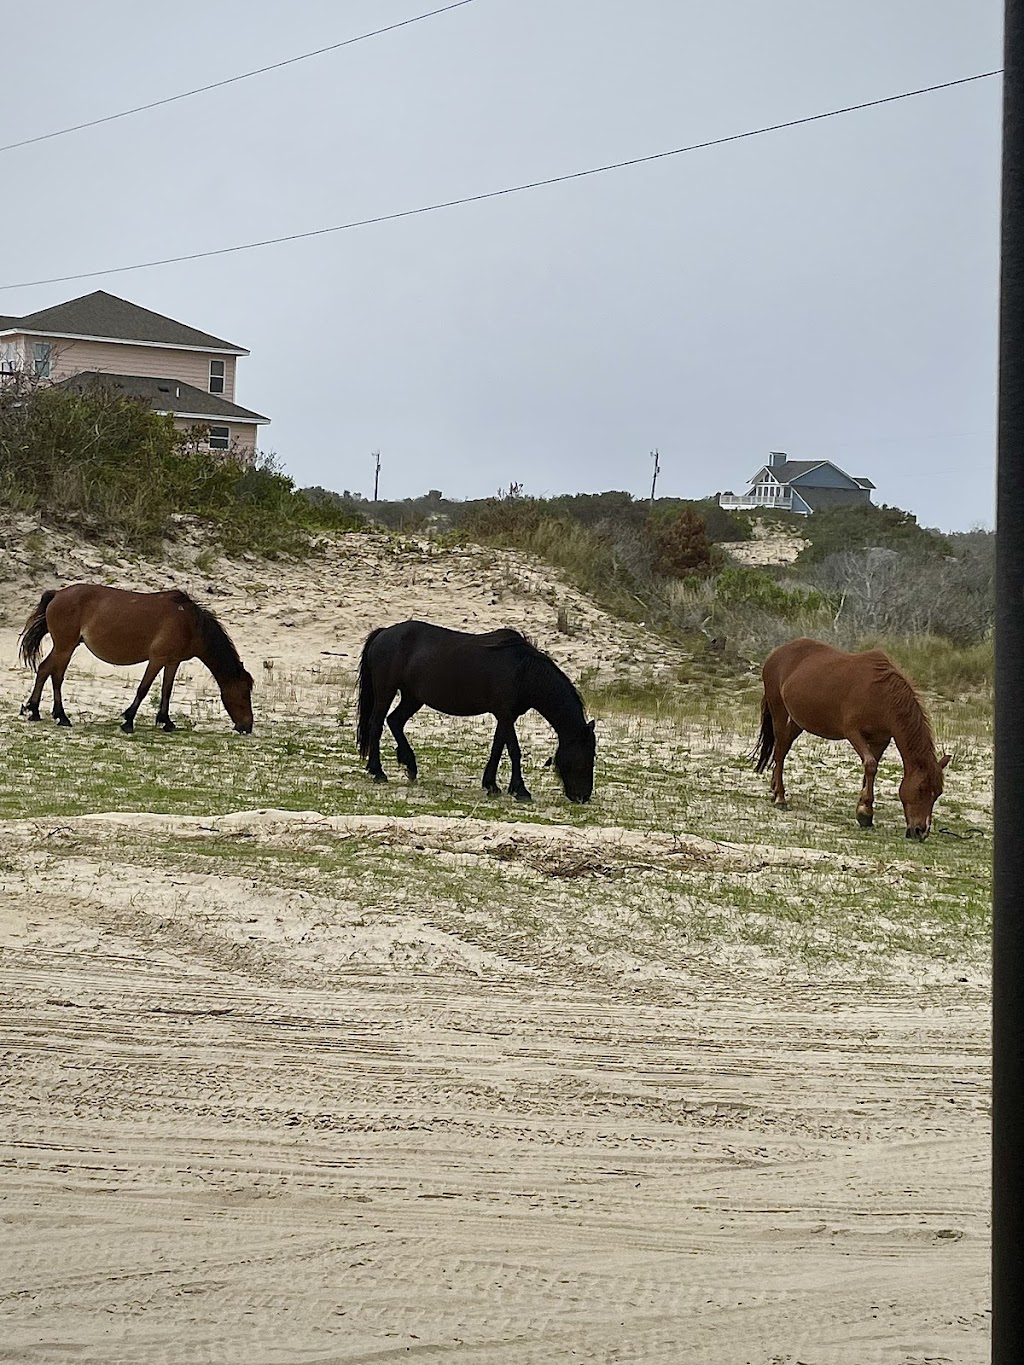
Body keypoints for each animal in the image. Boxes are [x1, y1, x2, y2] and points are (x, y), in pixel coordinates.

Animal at [18, 586, 255, 737]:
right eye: (244, 693)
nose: (247, 726)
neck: (189, 623)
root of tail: (57, 594)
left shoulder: (172, 662)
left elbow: (166, 691)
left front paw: (166, 721)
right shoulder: (157, 659)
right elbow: (143, 689)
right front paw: (128, 721)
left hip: (67, 646)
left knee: (47, 671)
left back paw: (39, 712)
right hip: (65, 647)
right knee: (54, 674)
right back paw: (58, 715)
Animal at [360, 625, 600, 802]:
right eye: (585, 757)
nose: (582, 797)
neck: (523, 670)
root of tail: (384, 633)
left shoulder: (506, 716)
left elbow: (497, 747)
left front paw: (491, 785)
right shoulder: (504, 714)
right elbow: (514, 750)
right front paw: (520, 790)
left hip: (413, 698)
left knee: (394, 721)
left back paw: (409, 765)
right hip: (386, 691)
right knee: (377, 724)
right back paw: (378, 772)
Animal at [759, 636, 950, 835]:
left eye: (937, 793)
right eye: (921, 789)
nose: (921, 832)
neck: (882, 695)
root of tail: (776, 652)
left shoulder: (881, 739)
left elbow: (870, 770)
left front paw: (864, 810)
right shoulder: (853, 733)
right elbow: (870, 765)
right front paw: (865, 813)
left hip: (799, 720)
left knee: (784, 746)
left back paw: (775, 788)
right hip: (779, 710)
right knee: (780, 750)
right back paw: (780, 797)